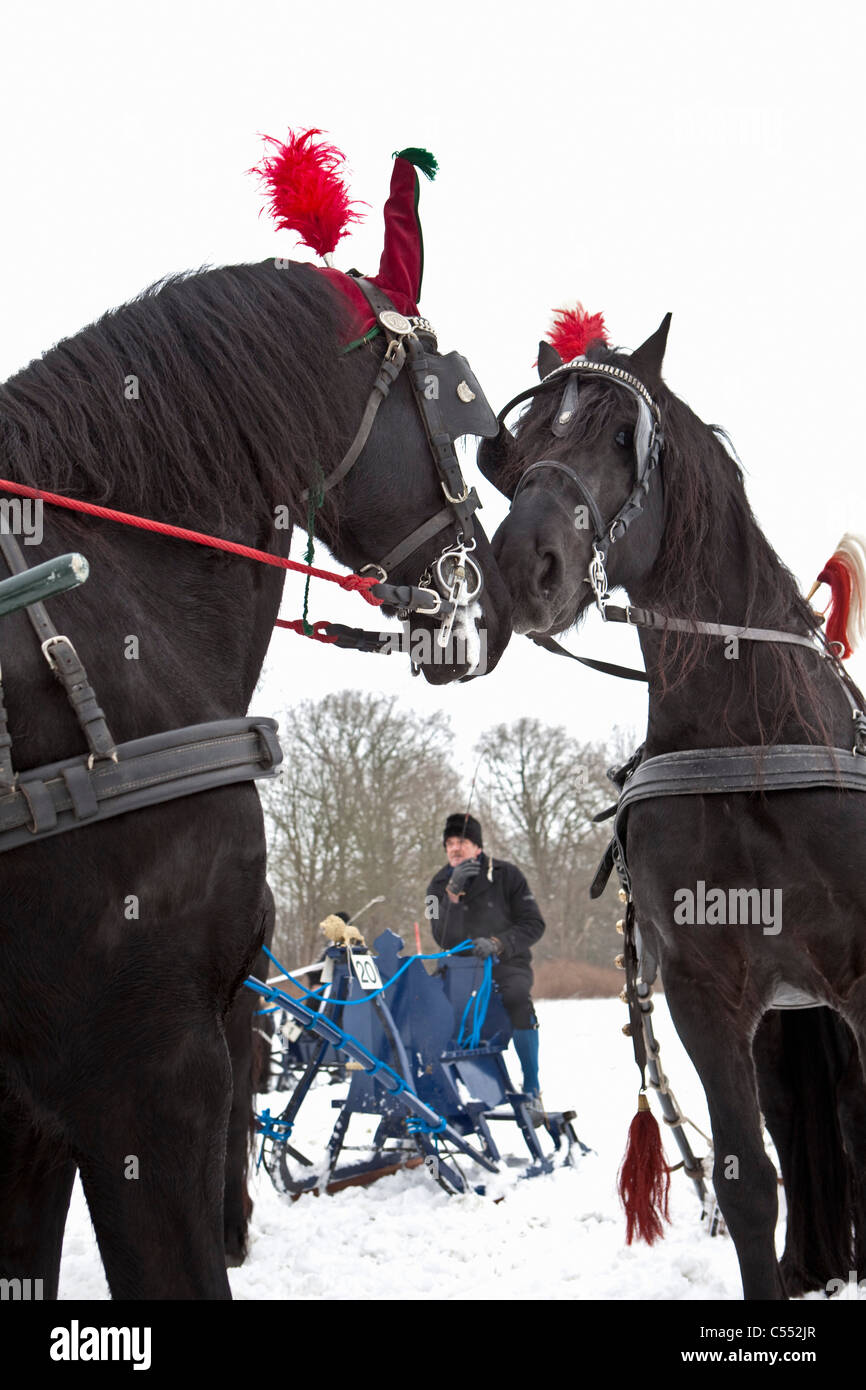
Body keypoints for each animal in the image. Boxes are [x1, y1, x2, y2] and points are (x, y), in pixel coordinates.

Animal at [483, 319, 866, 1295]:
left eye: (626, 437)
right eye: (520, 445)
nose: (522, 567)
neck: (748, 742)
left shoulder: (862, 971)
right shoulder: (704, 985)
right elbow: (745, 1181)